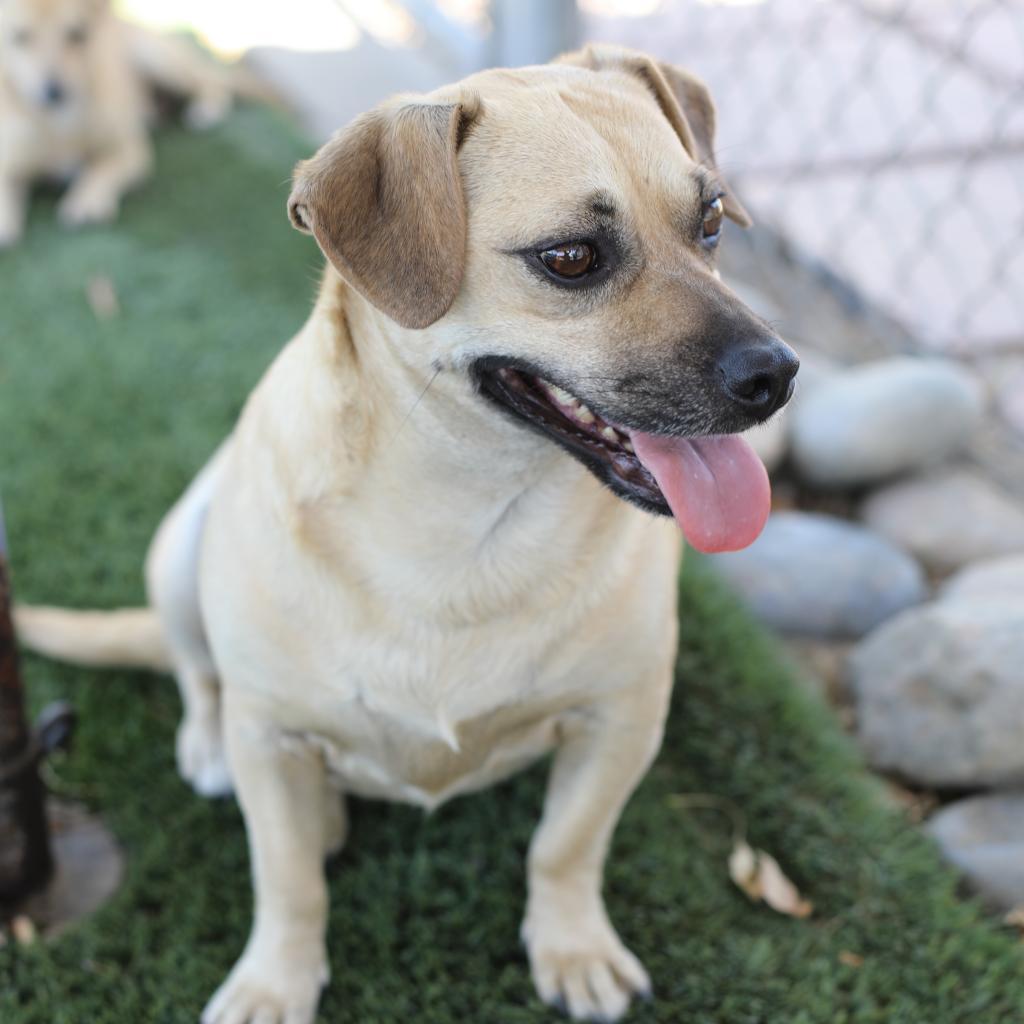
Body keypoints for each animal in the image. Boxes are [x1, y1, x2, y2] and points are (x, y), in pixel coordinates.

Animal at [0, 0, 268, 245]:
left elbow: (99, 172)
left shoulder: (129, 150)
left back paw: (206, 111)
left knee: (212, 83)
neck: (58, 126)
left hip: (159, 60)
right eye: (20, 37)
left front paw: (88, 200)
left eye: (77, 34)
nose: (54, 91)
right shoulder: (11, 167)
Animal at [18, 44, 798, 1019]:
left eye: (712, 221)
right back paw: (214, 749)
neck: (468, 522)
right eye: (571, 258)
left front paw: (573, 946)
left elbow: (566, 844)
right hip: (179, 546)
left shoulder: (619, 720)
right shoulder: (269, 740)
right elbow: (287, 879)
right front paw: (274, 981)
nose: (778, 374)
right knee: (197, 670)